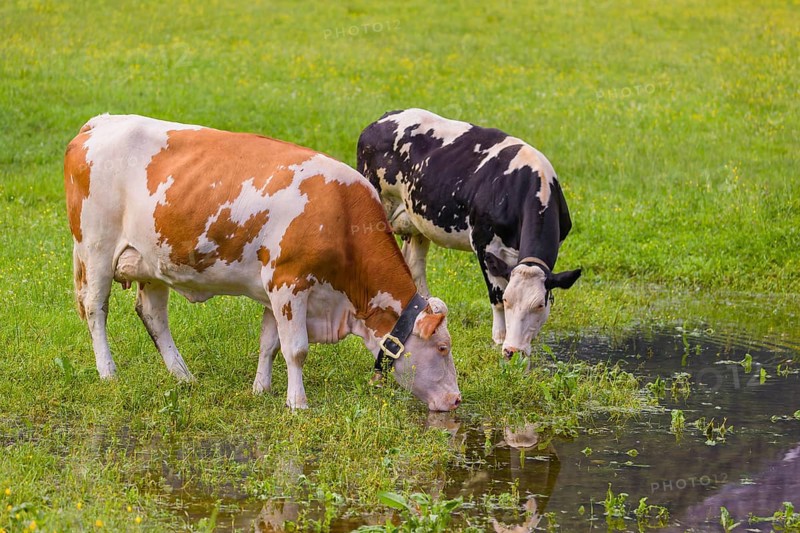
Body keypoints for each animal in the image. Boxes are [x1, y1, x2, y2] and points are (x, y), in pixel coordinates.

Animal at [64, 114, 461, 411]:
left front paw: (261, 389)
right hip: (97, 249)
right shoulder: (289, 282)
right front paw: (297, 403)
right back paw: (108, 371)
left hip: (151, 262)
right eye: (442, 348)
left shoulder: (275, 289)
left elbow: (270, 343)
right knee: (96, 308)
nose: (456, 400)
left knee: (153, 315)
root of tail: (99, 123)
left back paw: (183, 375)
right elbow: (296, 349)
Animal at [357, 108, 581, 359]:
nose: (513, 350)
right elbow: (495, 295)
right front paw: (498, 338)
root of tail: (382, 119)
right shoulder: (484, 244)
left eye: (540, 305)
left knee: (414, 266)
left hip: (416, 221)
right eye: (508, 300)